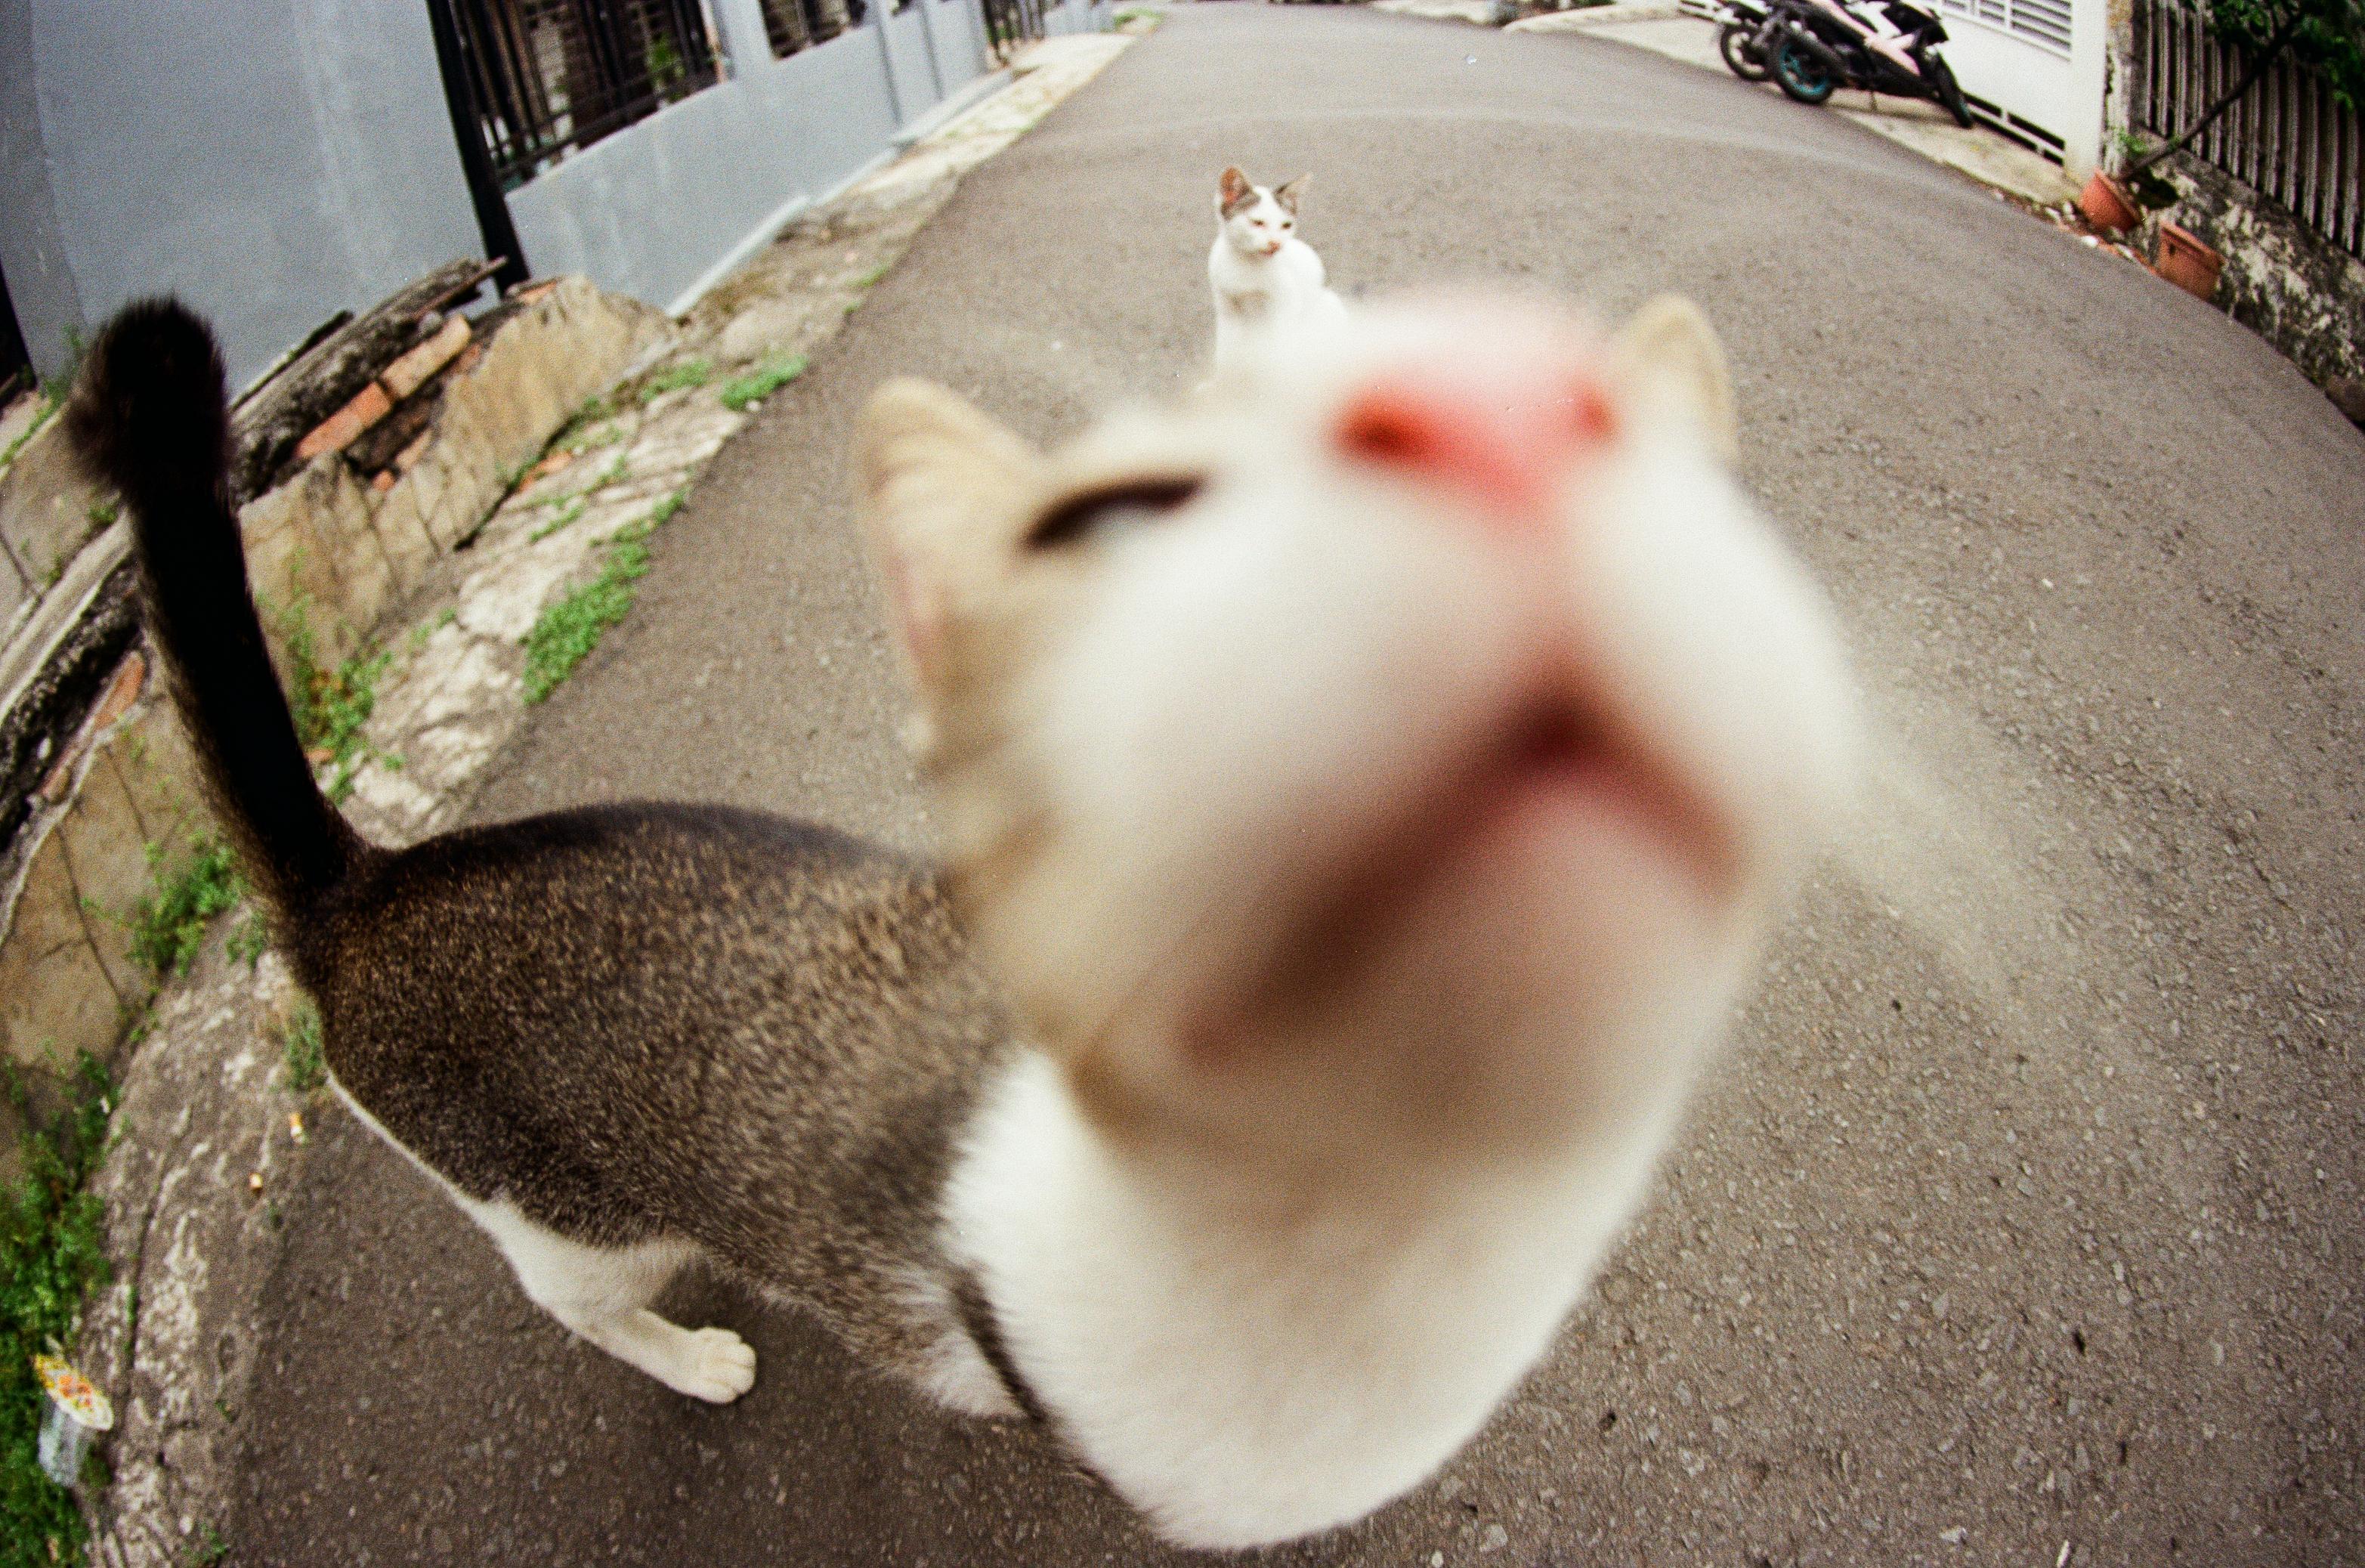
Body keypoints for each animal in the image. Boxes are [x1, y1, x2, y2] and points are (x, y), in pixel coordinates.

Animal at [1208, 164, 1349, 374]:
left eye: (1286, 225)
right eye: (1257, 223)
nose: (1275, 244)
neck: (1247, 264)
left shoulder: (1284, 308)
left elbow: (1277, 353)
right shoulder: (1228, 310)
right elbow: (1227, 355)